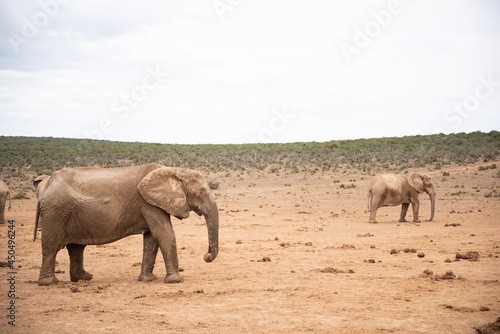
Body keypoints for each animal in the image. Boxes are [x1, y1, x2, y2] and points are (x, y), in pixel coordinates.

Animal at [35, 163, 219, 286]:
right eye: (201, 192)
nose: (207, 256)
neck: (173, 170)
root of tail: (46, 186)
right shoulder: (148, 203)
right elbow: (164, 233)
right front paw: (176, 280)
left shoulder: (151, 203)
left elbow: (151, 238)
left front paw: (147, 280)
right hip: (55, 211)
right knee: (52, 245)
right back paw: (50, 282)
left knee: (76, 247)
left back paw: (84, 278)